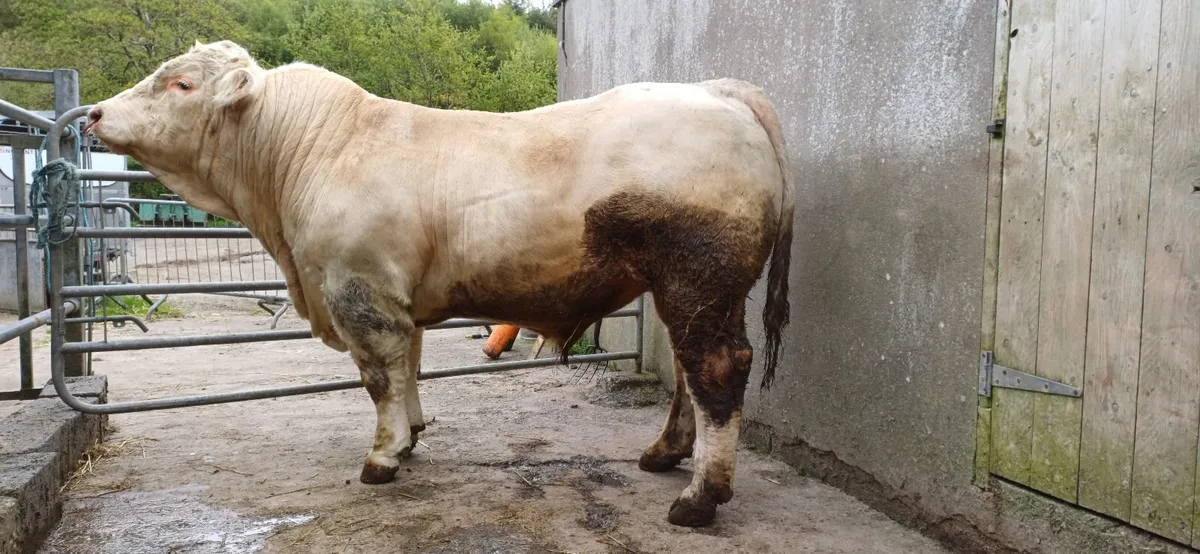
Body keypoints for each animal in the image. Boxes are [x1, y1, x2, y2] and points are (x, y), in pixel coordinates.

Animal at [85, 40, 794, 527]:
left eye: (180, 83)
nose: (92, 112)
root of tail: (719, 90)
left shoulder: (358, 290)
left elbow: (378, 377)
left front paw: (383, 456)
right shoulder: (395, 300)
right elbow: (409, 369)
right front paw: (414, 434)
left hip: (700, 279)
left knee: (715, 369)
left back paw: (699, 497)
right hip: (689, 289)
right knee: (688, 372)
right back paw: (665, 454)